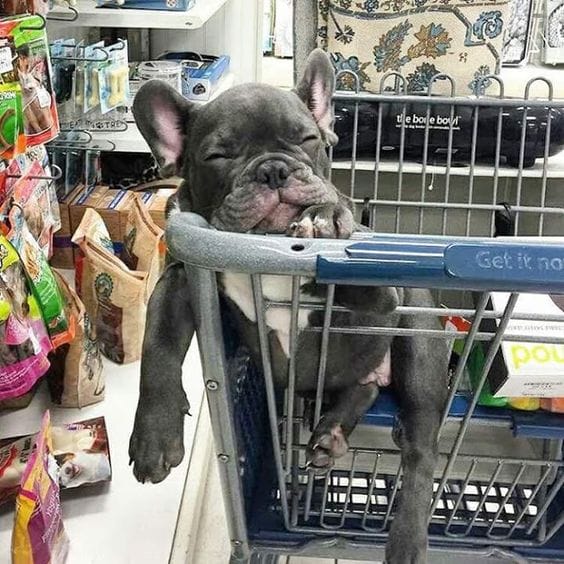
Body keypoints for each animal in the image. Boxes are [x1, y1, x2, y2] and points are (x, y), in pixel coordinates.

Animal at [129, 49, 449, 563]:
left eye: (307, 140)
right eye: (218, 156)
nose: (273, 169)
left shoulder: (377, 279)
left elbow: (357, 268)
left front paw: (326, 220)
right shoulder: (181, 278)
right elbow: (157, 347)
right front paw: (154, 436)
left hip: (420, 341)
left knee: (421, 449)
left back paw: (406, 539)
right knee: (363, 389)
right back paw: (330, 433)